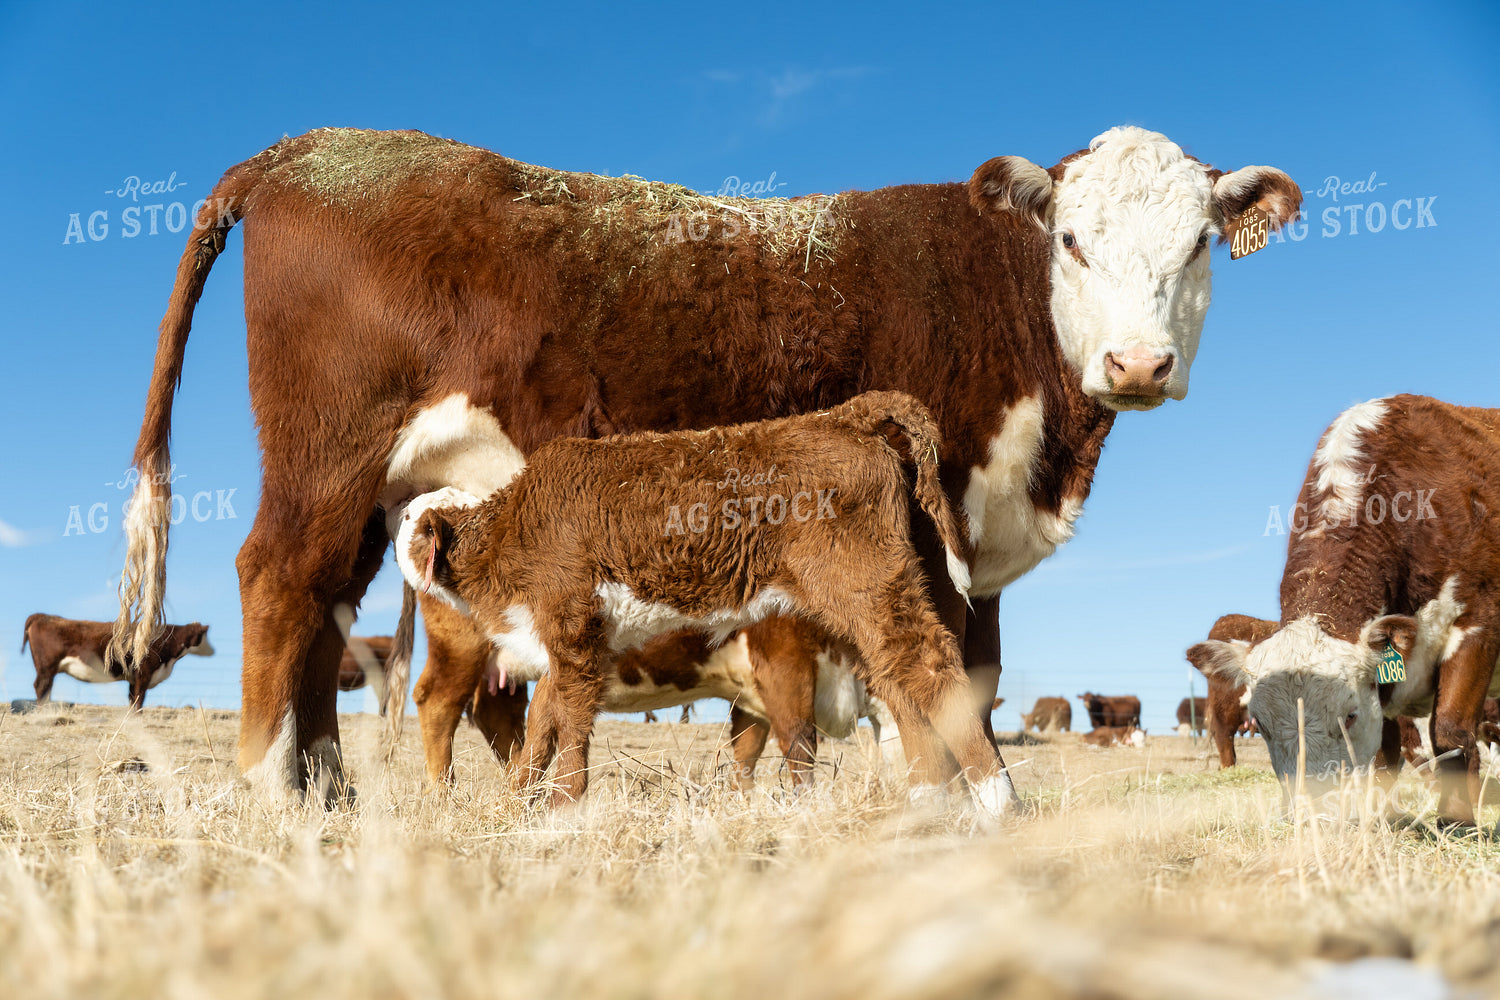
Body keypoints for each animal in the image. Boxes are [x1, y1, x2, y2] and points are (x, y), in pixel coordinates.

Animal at [23, 614, 212, 709]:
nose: (213, 650)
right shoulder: (144, 674)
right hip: (46, 666)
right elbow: (139, 699)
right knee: (41, 686)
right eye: (204, 636)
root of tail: (43, 616)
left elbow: (132, 698)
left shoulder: (134, 678)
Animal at [392, 392, 1013, 810]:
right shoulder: (567, 648)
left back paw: (996, 802)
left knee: (929, 667)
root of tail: (838, 417)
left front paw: (562, 809)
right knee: (901, 682)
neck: (510, 531)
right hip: (874, 600)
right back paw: (930, 807)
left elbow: (567, 729)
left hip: (869, 584)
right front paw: (517, 804)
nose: (395, 517)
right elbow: (544, 721)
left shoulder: (572, 635)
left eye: (408, 520)